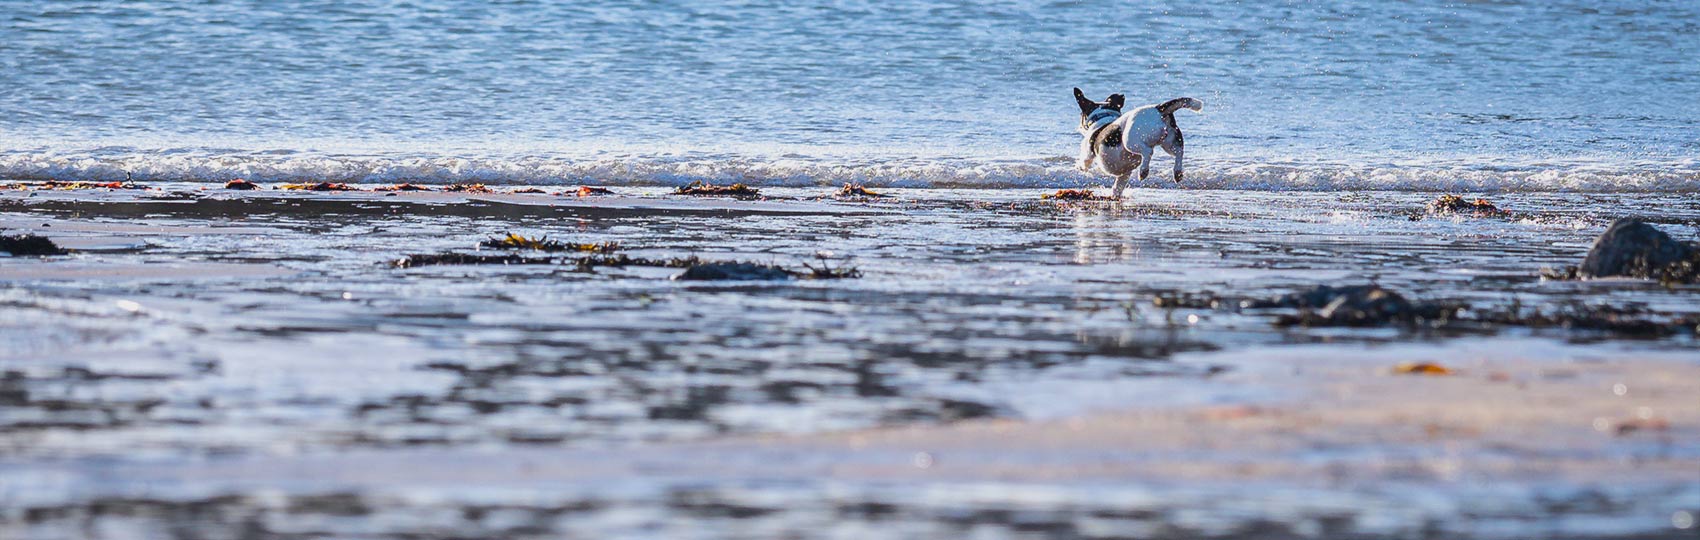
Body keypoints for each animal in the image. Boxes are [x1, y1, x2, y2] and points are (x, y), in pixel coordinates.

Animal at [1067, 88, 1203, 198]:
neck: (1103, 116)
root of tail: (1158, 108)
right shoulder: (1124, 174)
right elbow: (1118, 186)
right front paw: (1114, 195)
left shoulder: (1087, 156)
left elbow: (1083, 164)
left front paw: (1077, 168)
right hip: (1170, 141)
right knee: (1179, 152)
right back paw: (1177, 172)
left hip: (1130, 141)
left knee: (1148, 151)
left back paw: (1143, 171)